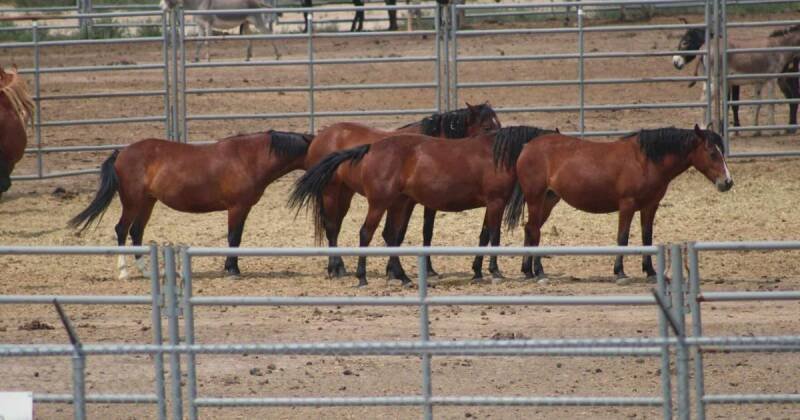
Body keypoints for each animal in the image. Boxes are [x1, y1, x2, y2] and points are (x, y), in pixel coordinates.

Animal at [69, 130, 312, 280]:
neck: (248, 158)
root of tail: (121, 153)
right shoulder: (237, 207)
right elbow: (234, 238)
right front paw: (232, 269)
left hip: (147, 202)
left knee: (136, 231)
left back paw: (146, 272)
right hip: (131, 202)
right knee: (121, 230)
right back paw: (124, 273)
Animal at [290, 126, 554, 288]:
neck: (497, 154)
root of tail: (371, 148)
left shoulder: (490, 205)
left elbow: (483, 236)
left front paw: (478, 271)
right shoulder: (496, 202)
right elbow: (495, 236)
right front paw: (495, 271)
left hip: (397, 204)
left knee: (390, 236)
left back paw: (403, 276)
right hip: (377, 203)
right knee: (365, 233)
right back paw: (361, 277)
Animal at [298, 103, 501, 279]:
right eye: (486, 127)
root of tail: (320, 136)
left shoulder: (426, 203)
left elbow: (426, 232)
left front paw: (427, 270)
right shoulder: (407, 202)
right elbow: (398, 233)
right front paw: (393, 271)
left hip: (345, 193)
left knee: (336, 225)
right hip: (330, 192)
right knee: (332, 227)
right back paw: (336, 268)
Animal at [503, 125, 733, 285]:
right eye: (712, 153)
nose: (727, 182)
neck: (645, 161)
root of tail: (528, 146)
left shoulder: (650, 206)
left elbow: (646, 237)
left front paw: (650, 271)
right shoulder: (627, 205)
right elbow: (622, 237)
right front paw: (620, 272)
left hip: (549, 200)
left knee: (530, 229)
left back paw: (528, 270)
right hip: (536, 198)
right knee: (534, 230)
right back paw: (538, 271)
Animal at [672, 22, 800, 135]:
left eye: (685, 42)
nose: (675, 63)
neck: (778, 46)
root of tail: (704, 49)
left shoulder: (758, 81)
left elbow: (757, 104)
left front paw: (755, 130)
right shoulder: (771, 79)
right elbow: (770, 103)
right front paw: (773, 130)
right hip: (715, 80)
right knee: (704, 100)